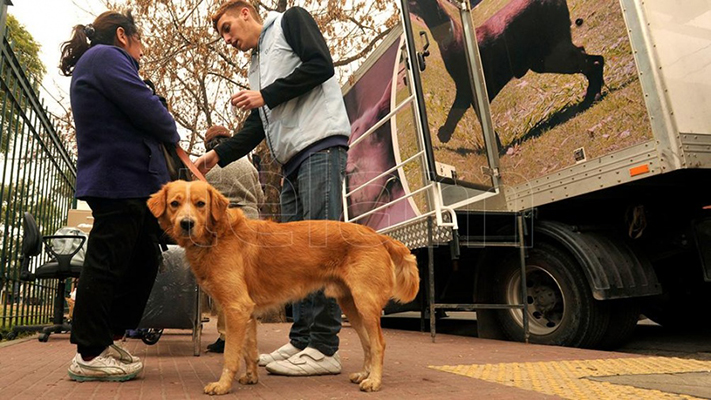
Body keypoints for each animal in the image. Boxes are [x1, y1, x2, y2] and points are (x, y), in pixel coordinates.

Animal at [147, 180, 420, 394]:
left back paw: (374, 381)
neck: (218, 235)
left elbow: (231, 355)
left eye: (200, 204)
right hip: (351, 306)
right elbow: (249, 350)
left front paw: (223, 385)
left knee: (379, 344)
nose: (186, 223)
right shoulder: (247, 313)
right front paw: (251, 377)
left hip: (365, 303)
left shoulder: (236, 307)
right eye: (175, 203)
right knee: (367, 344)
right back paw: (364, 374)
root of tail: (377, 235)